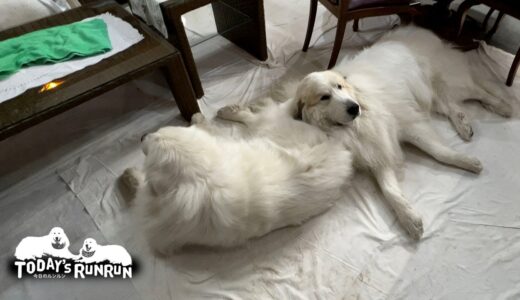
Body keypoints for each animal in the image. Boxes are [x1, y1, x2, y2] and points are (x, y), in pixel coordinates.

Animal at [120, 100, 352, 253]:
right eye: (156, 133)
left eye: (150, 146)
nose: (143, 135)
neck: (205, 175)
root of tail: (335, 148)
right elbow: (205, 130)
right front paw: (198, 118)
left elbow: (141, 191)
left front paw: (129, 177)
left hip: (268, 129)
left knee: (260, 116)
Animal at [288, 27, 512, 240]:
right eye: (324, 97)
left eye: (340, 87)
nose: (354, 107)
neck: (354, 127)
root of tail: (413, 30)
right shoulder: (376, 149)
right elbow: (389, 190)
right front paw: (409, 219)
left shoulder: (406, 124)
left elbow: (438, 152)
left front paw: (467, 161)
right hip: (434, 94)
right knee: (450, 105)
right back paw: (464, 125)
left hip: (449, 82)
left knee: (478, 91)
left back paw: (503, 107)